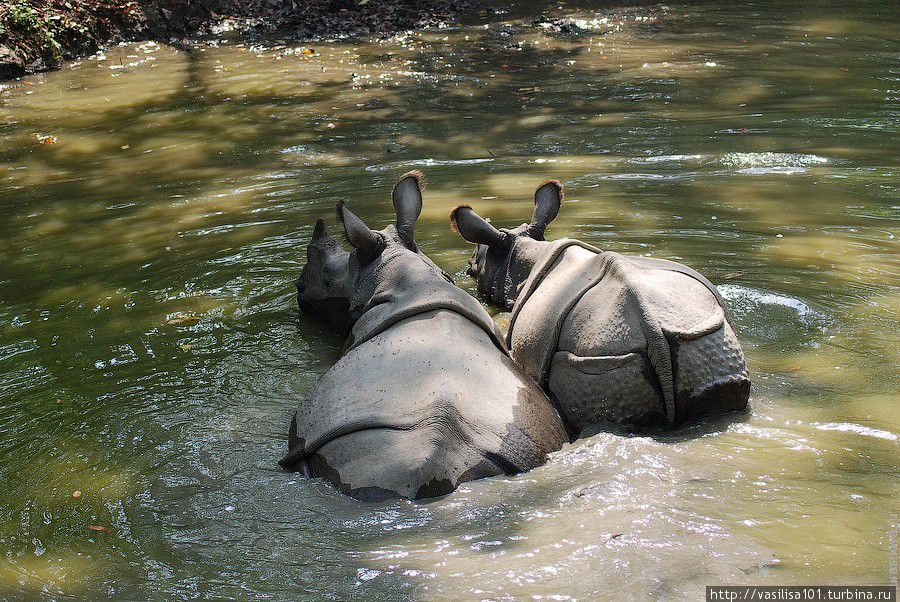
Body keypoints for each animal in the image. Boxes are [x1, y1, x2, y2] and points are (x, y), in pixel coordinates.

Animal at [450, 179, 752, 432]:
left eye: (474, 263)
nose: (466, 269)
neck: (521, 256)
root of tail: (651, 327)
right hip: (703, 336)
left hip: (596, 360)